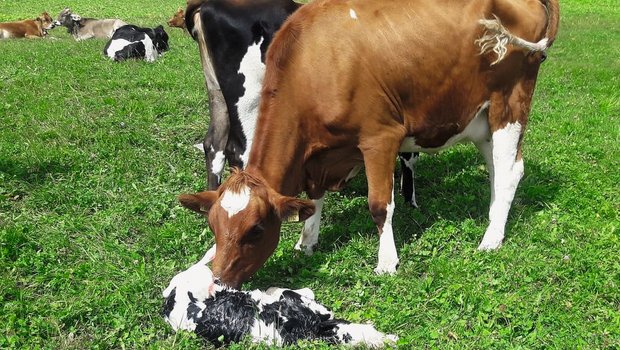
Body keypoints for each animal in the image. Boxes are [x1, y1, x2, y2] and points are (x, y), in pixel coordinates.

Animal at [179, 0, 560, 290]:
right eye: (213, 226)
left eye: (256, 230)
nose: (218, 281)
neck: (314, 61)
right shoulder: (319, 155)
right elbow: (314, 198)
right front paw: (307, 241)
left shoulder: (380, 138)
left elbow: (379, 205)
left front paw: (387, 261)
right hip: (480, 119)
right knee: (497, 170)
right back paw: (494, 221)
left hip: (509, 103)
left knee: (510, 171)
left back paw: (491, 239)